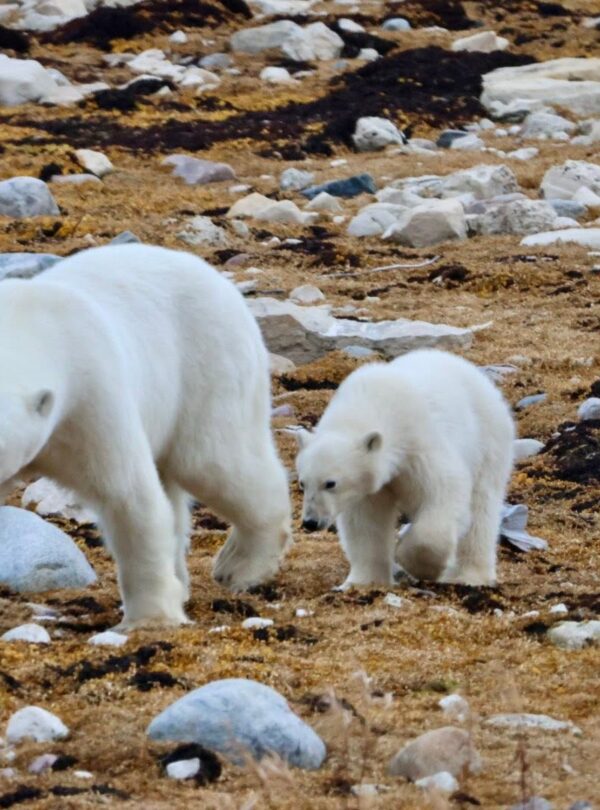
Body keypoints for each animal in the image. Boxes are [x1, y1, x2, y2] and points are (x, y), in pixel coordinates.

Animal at [0, 244, 291, 629]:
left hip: (210, 362)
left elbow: (127, 496)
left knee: (213, 462)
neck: (27, 321)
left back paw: (240, 566)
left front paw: (148, 619)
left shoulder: (91, 395)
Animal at [295, 349, 515, 589]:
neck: (373, 401)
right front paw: (362, 582)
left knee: (481, 506)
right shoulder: (367, 487)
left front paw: (418, 564)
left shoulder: (417, 444)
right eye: (302, 483)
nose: (310, 522)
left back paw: (468, 575)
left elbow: (445, 490)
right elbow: (366, 523)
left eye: (330, 483)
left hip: (488, 441)